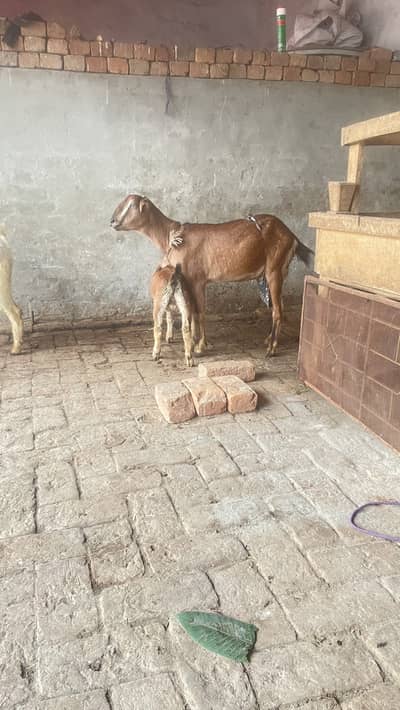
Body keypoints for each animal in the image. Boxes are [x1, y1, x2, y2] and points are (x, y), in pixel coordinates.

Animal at [111, 195, 313, 356]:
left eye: (130, 204)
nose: (112, 221)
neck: (173, 236)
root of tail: (291, 236)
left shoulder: (198, 280)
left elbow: (200, 312)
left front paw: (200, 345)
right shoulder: (189, 281)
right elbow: (193, 312)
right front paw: (195, 341)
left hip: (274, 270)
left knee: (278, 310)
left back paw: (271, 349)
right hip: (279, 271)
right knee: (278, 307)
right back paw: (268, 340)